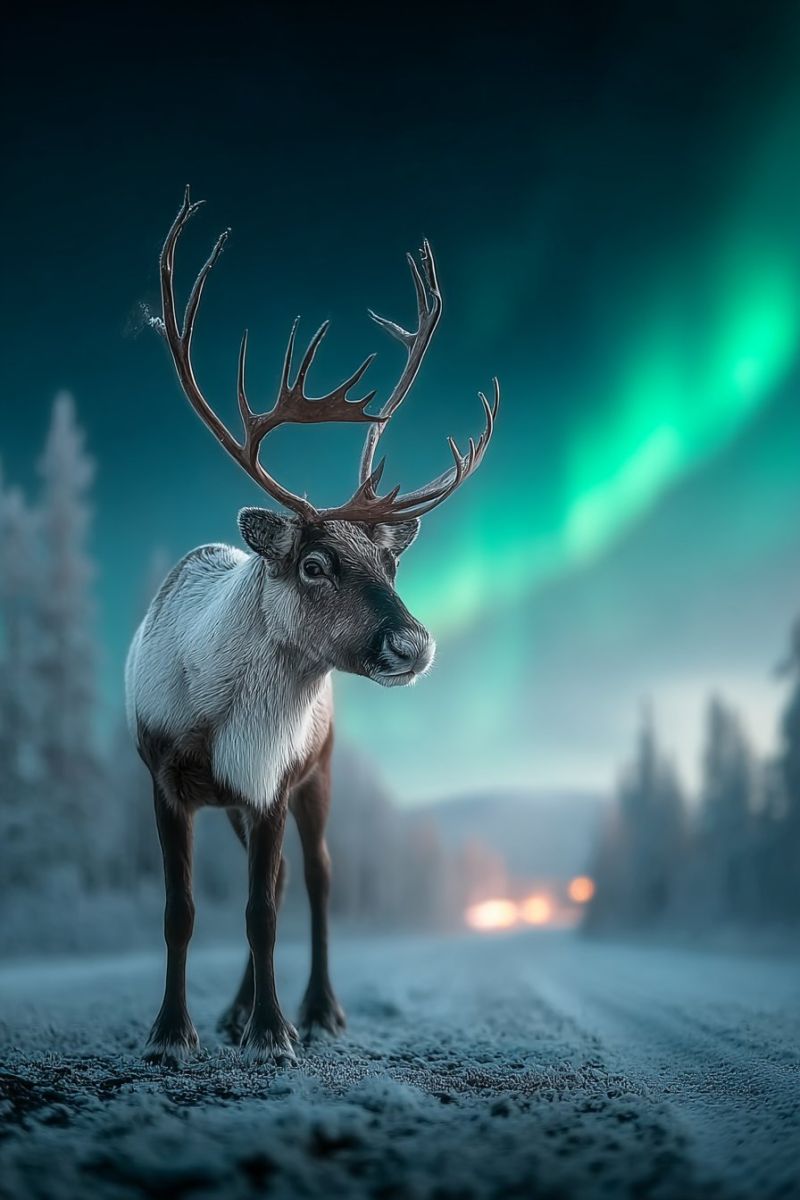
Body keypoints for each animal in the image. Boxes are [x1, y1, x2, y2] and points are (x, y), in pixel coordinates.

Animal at [125, 188, 499, 1066]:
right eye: (316, 564)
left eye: (391, 563)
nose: (414, 644)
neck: (221, 710)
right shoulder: (166, 777)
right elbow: (181, 911)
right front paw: (173, 1031)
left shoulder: (270, 781)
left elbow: (262, 909)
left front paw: (275, 1031)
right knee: (288, 880)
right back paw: (235, 1011)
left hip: (317, 773)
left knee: (316, 879)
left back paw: (318, 1009)